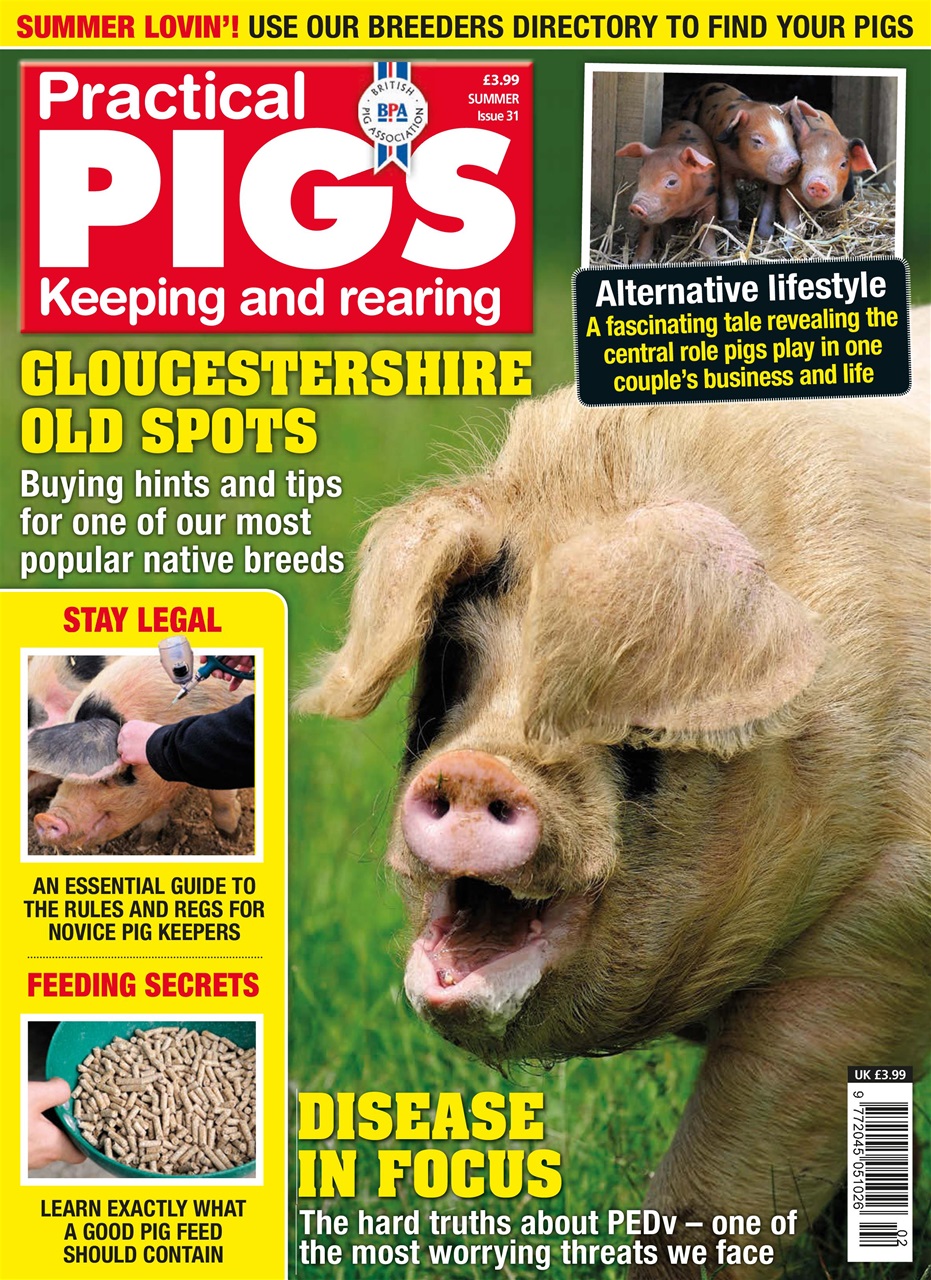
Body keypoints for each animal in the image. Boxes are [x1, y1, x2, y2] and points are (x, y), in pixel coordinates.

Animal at [31, 654, 243, 852]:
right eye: (65, 773)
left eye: (123, 772)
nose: (44, 819)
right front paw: (142, 843)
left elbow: (222, 796)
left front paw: (233, 835)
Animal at [616, 121, 719, 262]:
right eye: (640, 175)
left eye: (672, 182)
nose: (636, 206)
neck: (684, 208)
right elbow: (646, 237)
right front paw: (637, 262)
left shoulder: (710, 199)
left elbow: (708, 232)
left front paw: (713, 258)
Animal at [683, 81, 800, 238]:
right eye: (757, 140)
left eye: (792, 135)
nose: (794, 161)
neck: (747, 170)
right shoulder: (724, 168)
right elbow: (730, 200)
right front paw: (732, 231)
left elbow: (769, 204)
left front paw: (764, 235)